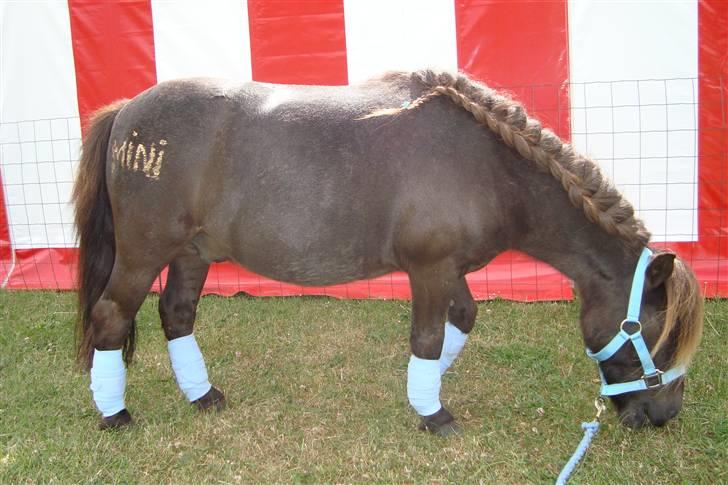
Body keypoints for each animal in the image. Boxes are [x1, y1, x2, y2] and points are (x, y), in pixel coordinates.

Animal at [73, 69, 703, 434]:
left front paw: (426, 389)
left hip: (192, 253)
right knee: (110, 316)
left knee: (176, 316)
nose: (663, 416)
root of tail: (128, 110)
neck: (488, 166)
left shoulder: (451, 269)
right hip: (142, 253)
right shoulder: (429, 270)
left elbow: (460, 321)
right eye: (656, 333)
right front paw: (433, 412)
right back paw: (114, 413)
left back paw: (203, 397)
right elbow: (427, 337)